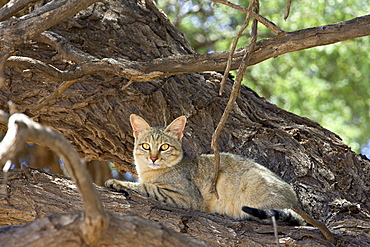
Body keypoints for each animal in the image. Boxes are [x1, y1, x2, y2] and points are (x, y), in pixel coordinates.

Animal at [105, 114, 304, 226]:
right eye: (146, 146)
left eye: (164, 147)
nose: (153, 158)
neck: (148, 172)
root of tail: (296, 202)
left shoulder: (184, 196)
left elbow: (147, 187)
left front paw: (117, 182)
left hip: (253, 181)